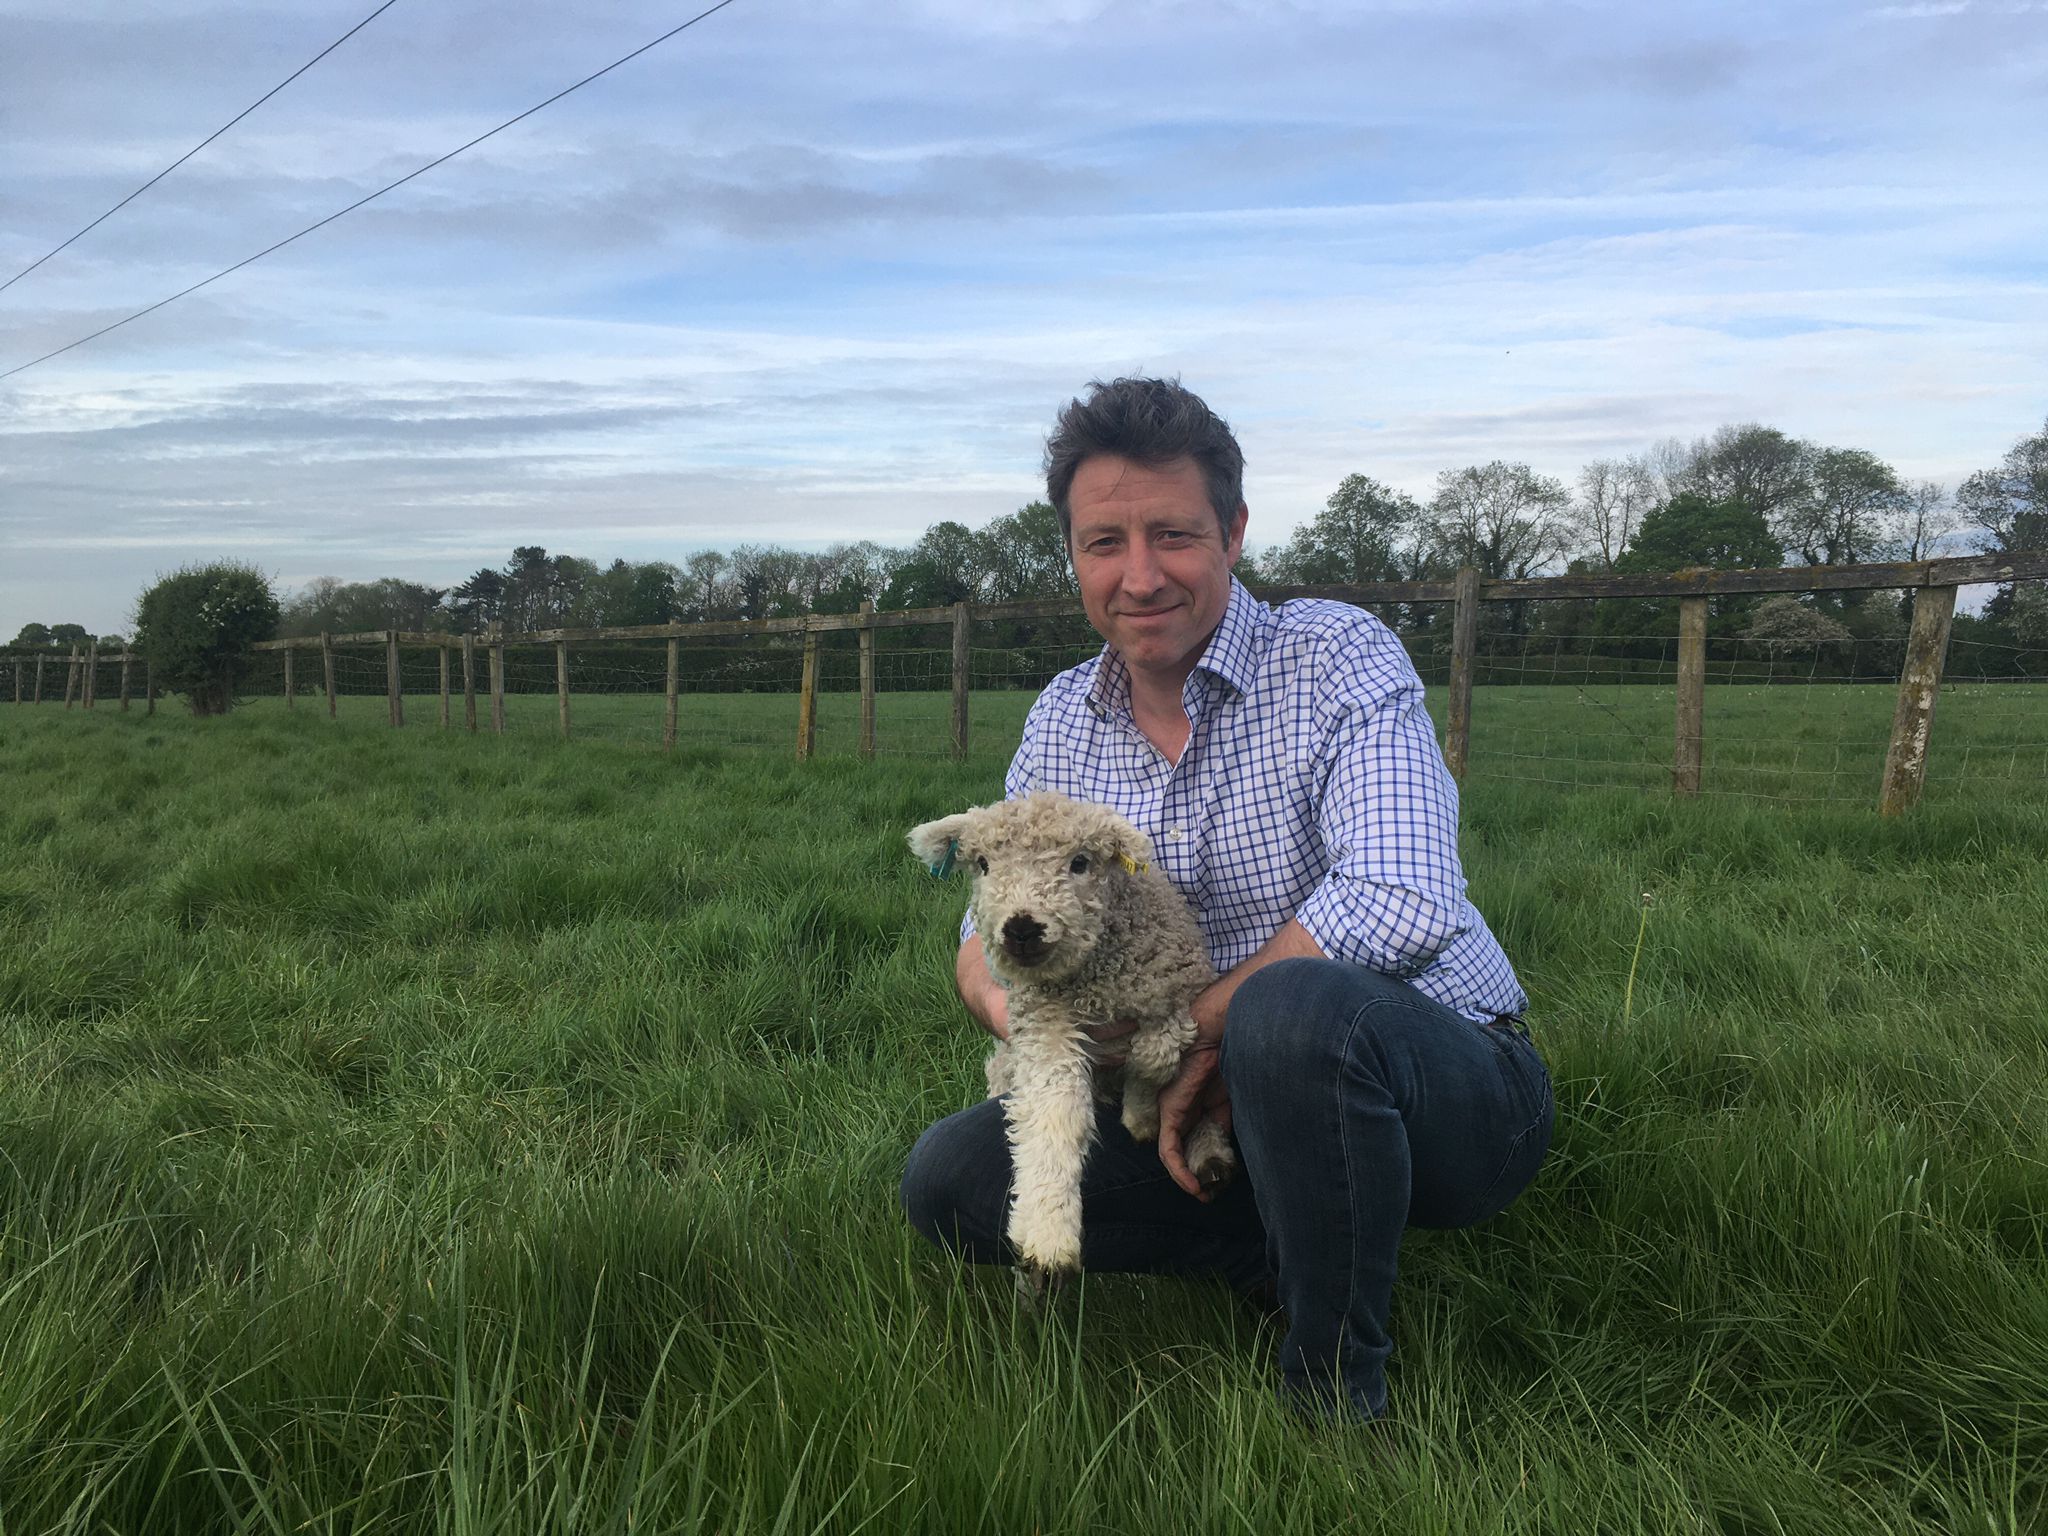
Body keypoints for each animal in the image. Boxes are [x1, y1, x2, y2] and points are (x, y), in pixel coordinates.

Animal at [909, 794, 1228, 1286]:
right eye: (983, 864)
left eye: (1080, 862)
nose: (1021, 928)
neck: (1099, 980)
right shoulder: (1045, 1026)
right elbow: (1054, 1116)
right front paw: (1048, 1233)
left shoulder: (1177, 999)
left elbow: (1156, 1057)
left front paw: (1142, 1115)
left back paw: (1208, 1154)